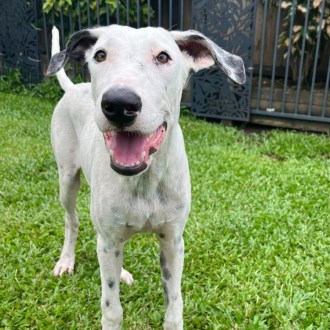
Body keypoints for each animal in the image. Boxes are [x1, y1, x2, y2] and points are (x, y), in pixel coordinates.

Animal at [48, 24, 245, 328]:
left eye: (163, 57)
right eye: (100, 55)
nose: (119, 103)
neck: (146, 179)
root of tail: (74, 88)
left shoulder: (173, 241)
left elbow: (174, 305)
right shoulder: (110, 240)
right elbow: (112, 309)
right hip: (68, 180)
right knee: (73, 221)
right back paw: (66, 260)